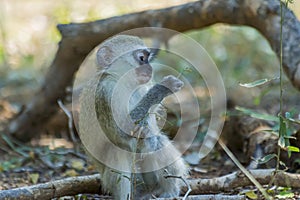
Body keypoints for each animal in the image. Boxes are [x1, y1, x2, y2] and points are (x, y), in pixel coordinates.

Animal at [79, 35, 188, 199]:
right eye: (142, 58)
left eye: (148, 58)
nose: (150, 68)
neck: (122, 82)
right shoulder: (105, 93)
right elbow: (123, 130)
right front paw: (162, 88)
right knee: (118, 150)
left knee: (156, 140)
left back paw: (168, 191)